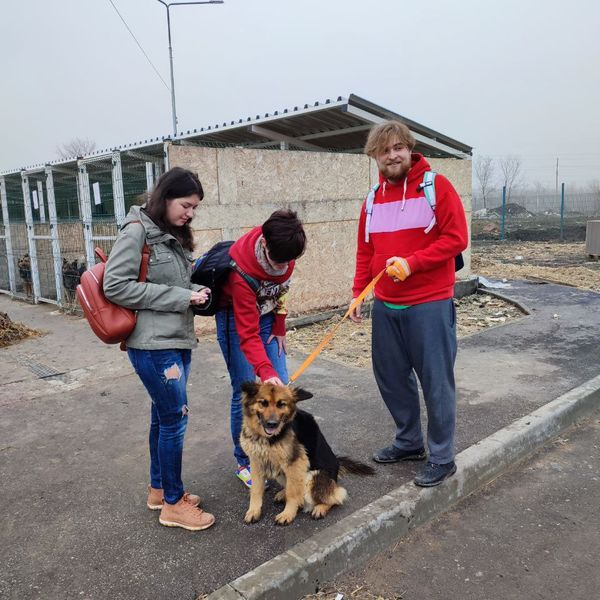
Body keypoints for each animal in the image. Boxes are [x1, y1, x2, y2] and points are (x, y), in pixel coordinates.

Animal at [240, 382, 376, 524]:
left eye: (281, 404)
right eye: (263, 403)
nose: (272, 424)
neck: (265, 437)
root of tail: (337, 465)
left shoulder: (295, 463)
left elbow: (292, 492)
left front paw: (288, 514)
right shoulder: (256, 462)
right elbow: (256, 489)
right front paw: (253, 511)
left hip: (312, 477)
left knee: (336, 496)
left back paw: (320, 507)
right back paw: (283, 494)